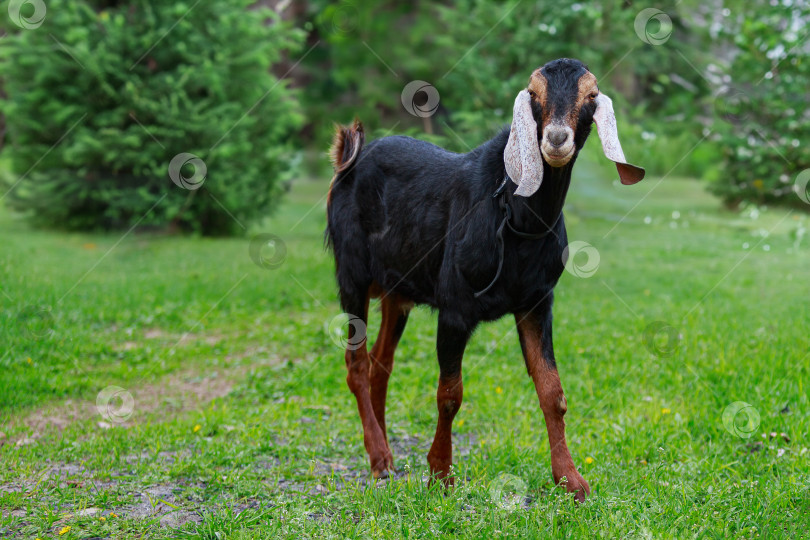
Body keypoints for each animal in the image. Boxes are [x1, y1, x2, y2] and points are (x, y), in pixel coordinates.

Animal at [322, 57, 644, 500]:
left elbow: (553, 392)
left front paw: (570, 480)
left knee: (379, 365)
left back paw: (384, 452)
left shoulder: (536, 302)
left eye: (591, 96)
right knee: (355, 365)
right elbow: (449, 394)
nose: (556, 140)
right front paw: (441, 474)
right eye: (534, 94)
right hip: (352, 275)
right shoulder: (455, 308)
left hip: (396, 291)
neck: (518, 217)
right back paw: (379, 458)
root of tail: (348, 159)